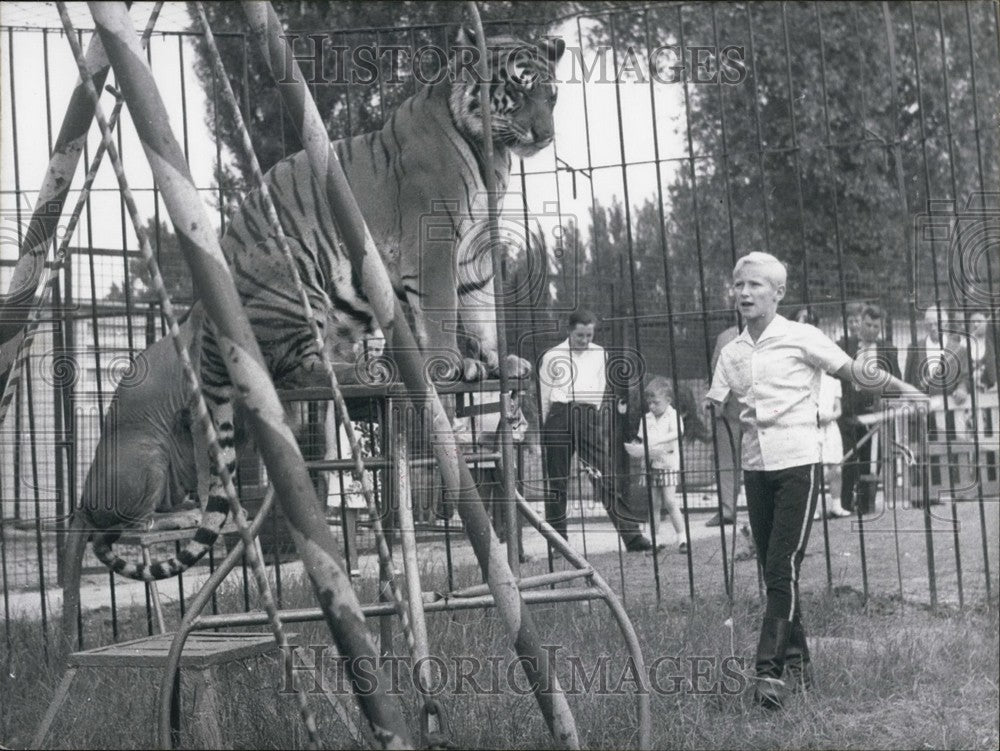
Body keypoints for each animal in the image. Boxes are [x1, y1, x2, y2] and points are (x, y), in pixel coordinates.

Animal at [66, 27, 568, 600]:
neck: (491, 153)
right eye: (518, 88)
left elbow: (481, 312)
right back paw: (372, 370)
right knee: (296, 374)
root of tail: (207, 322)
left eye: (551, 95)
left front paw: (499, 362)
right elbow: (443, 312)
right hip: (293, 281)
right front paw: (448, 366)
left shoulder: (476, 255)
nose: (545, 134)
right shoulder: (434, 242)